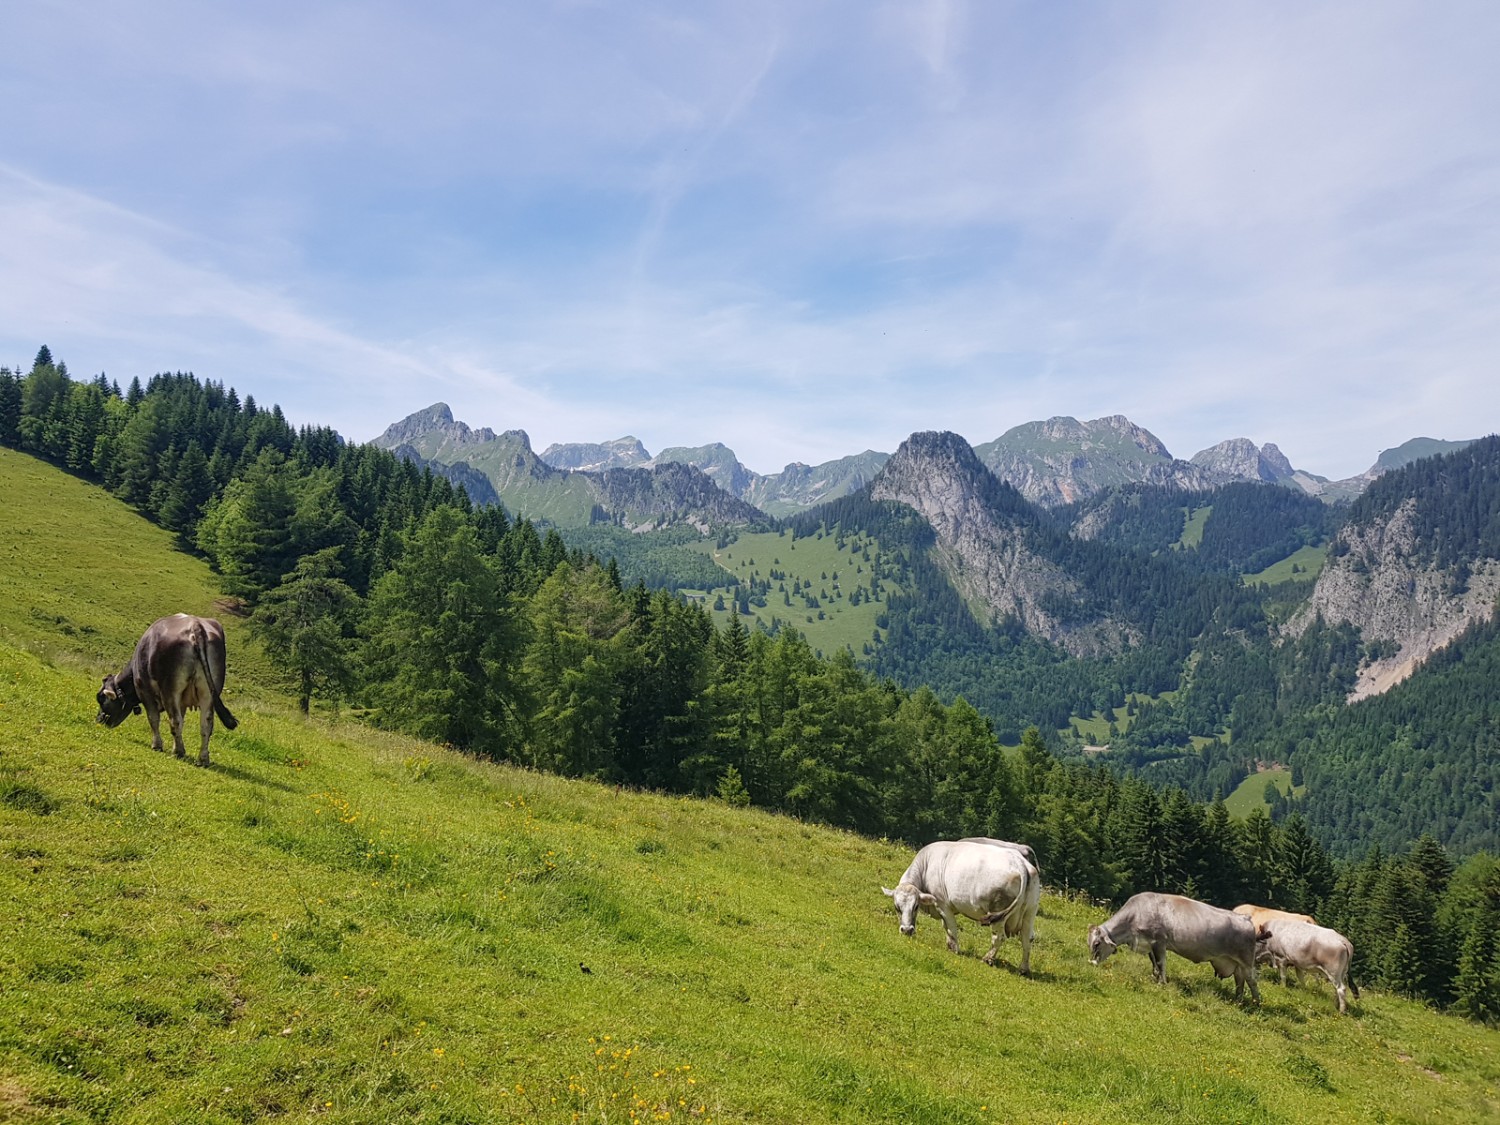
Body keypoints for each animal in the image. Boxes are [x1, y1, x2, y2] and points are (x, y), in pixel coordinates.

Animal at [96, 618, 237, 768]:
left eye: (101, 699)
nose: (98, 720)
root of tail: (196, 625)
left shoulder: (145, 691)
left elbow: (153, 718)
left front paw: (157, 745)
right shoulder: (182, 701)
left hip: (170, 690)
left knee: (175, 720)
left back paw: (178, 752)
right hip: (208, 692)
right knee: (206, 724)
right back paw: (202, 759)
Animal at [1086, 900, 1260, 1002]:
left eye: (1097, 943)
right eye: (1089, 943)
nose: (1091, 963)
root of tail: (1245, 918)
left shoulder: (1159, 941)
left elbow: (1161, 963)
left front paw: (1162, 983)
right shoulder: (1150, 945)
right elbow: (1154, 964)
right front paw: (1154, 978)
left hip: (1246, 960)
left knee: (1251, 980)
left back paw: (1255, 1003)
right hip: (1235, 963)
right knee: (1240, 980)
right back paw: (1237, 1001)